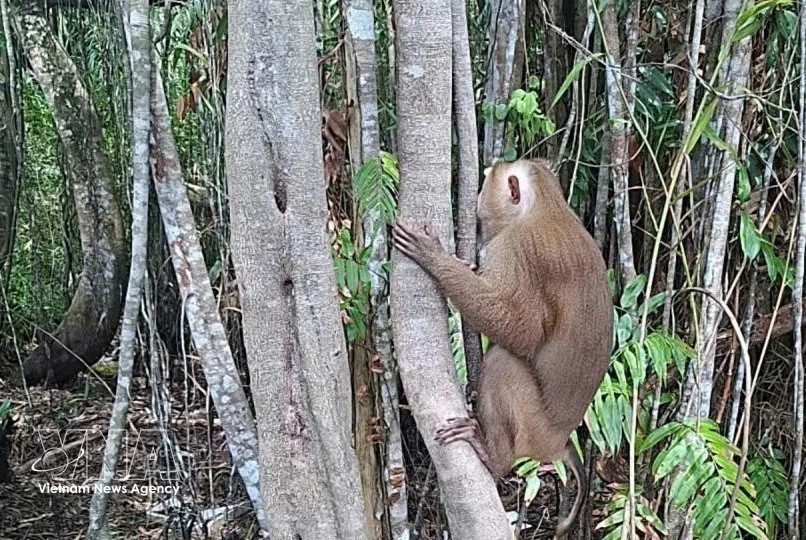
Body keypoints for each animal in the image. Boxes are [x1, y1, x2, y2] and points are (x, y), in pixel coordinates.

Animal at [393, 159, 613, 538]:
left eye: (486, 184)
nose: (478, 199)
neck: (546, 207)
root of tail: (559, 442)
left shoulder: (516, 249)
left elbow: (520, 330)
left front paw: (435, 258)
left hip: (534, 431)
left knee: (502, 362)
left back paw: (493, 457)